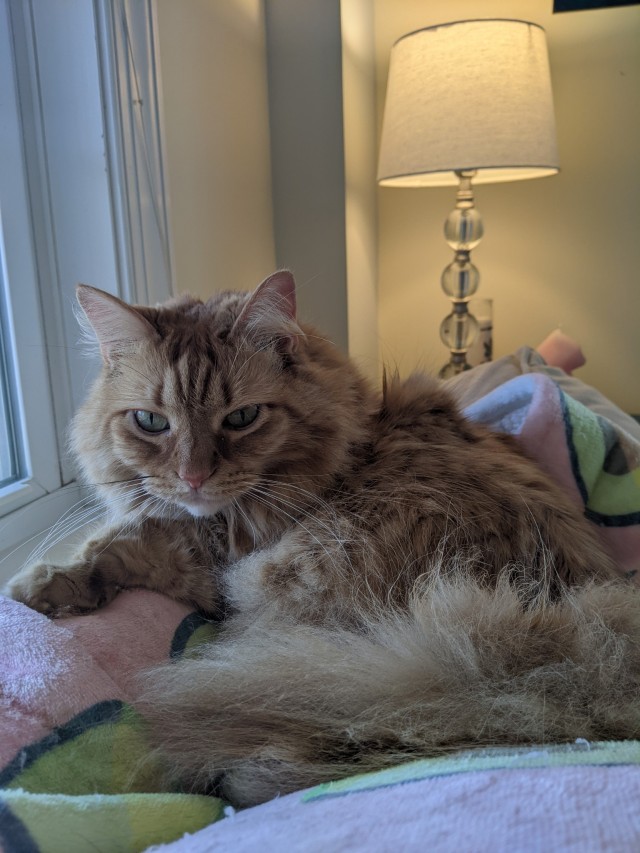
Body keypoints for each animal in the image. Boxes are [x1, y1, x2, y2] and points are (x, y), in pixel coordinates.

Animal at [6, 272, 640, 804]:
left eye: (242, 418)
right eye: (151, 423)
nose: (193, 477)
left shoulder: (213, 559)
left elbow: (128, 538)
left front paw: (41, 586)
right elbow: (126, 529)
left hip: (286, 588)